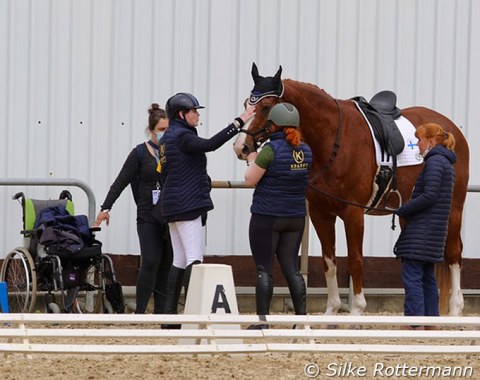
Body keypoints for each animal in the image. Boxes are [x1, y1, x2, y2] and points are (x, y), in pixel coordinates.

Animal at [234, 63, 470, 316]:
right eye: (246, 104)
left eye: (266, 107)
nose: (241, 147)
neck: (333, 139)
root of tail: (451, 130)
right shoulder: (320, 213)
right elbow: (329, 261)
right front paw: (332, 311)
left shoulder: (353, 213)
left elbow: (355, 261)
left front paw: (356, 310)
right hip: (410, 212)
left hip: (454, 209)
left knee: (454, 254)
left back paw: (455, 310)